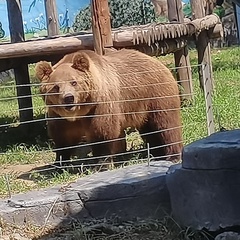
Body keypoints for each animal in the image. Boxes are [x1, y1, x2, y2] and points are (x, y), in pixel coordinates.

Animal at [35, 48, 182, 165]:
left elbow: (102, 131)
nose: (69, 98)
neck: (80, 111)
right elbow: (62, 137)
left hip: (155, 95)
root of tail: (157, 62)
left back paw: (172, 155)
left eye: (74, 82)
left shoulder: (99, 106)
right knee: (150, 130)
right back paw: (156, 152)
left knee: (166, 124)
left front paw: (102, 163)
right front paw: (59, 163)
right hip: (143, 108)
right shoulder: (60, 117)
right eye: (56, 86)